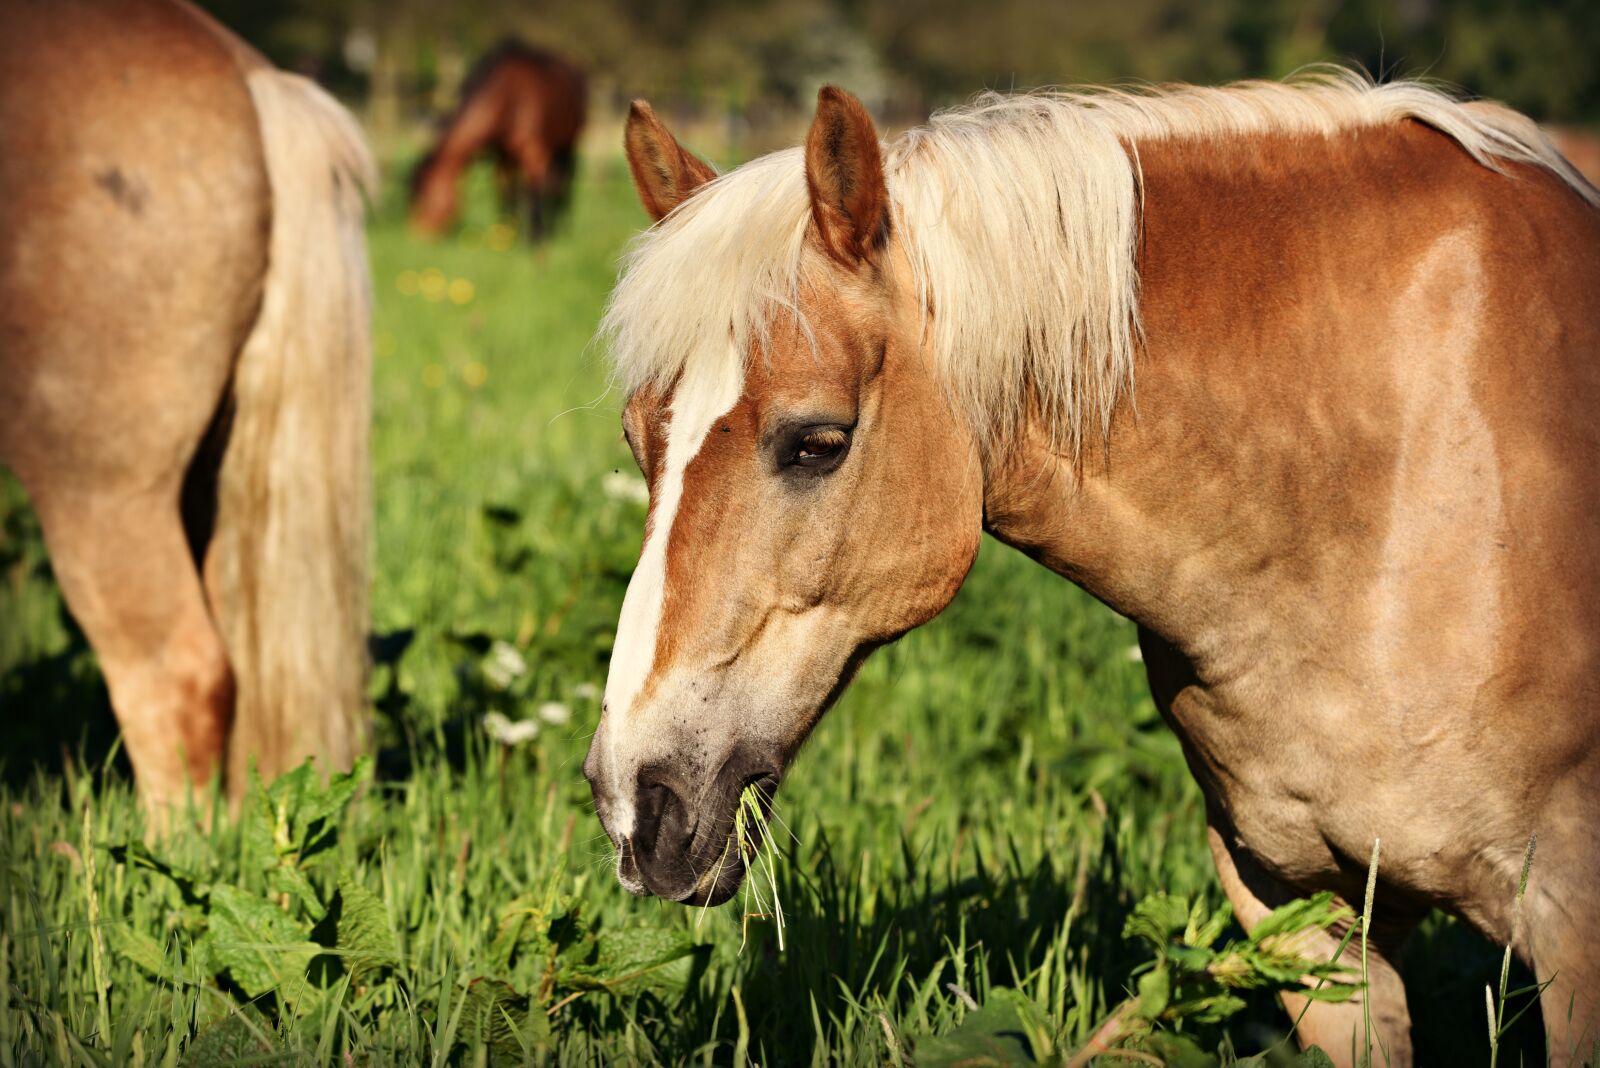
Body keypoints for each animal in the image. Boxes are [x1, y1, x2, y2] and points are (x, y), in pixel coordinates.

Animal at [409, 40, 587, 241]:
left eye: (422, 196)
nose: (417, 235)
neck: (510, 97)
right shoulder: (502, 156)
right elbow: (505, 190)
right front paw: (507, 232)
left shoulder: (534, 153)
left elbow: (533, 191)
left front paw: (535, 237)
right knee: (553, 183)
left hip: (568, 145)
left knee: (563, 183)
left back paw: (562, 228)